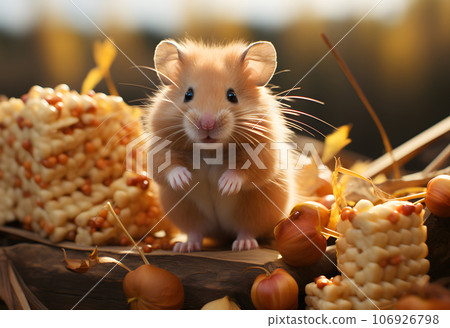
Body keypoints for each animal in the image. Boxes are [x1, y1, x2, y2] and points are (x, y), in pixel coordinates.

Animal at [144, 39, 302, 252]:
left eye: (232, 95)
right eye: (188, 94)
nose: (207, 124)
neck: (211, 151)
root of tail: (222, 235)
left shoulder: (264, 151)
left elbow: (247, 170)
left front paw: (225, 186)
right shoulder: (159, 146)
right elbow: (165, 166)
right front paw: (184, 180)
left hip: (254, 211)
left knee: (247, 230)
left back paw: (243, 245)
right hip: (187, 213)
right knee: (195, 232)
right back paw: (185, 246)